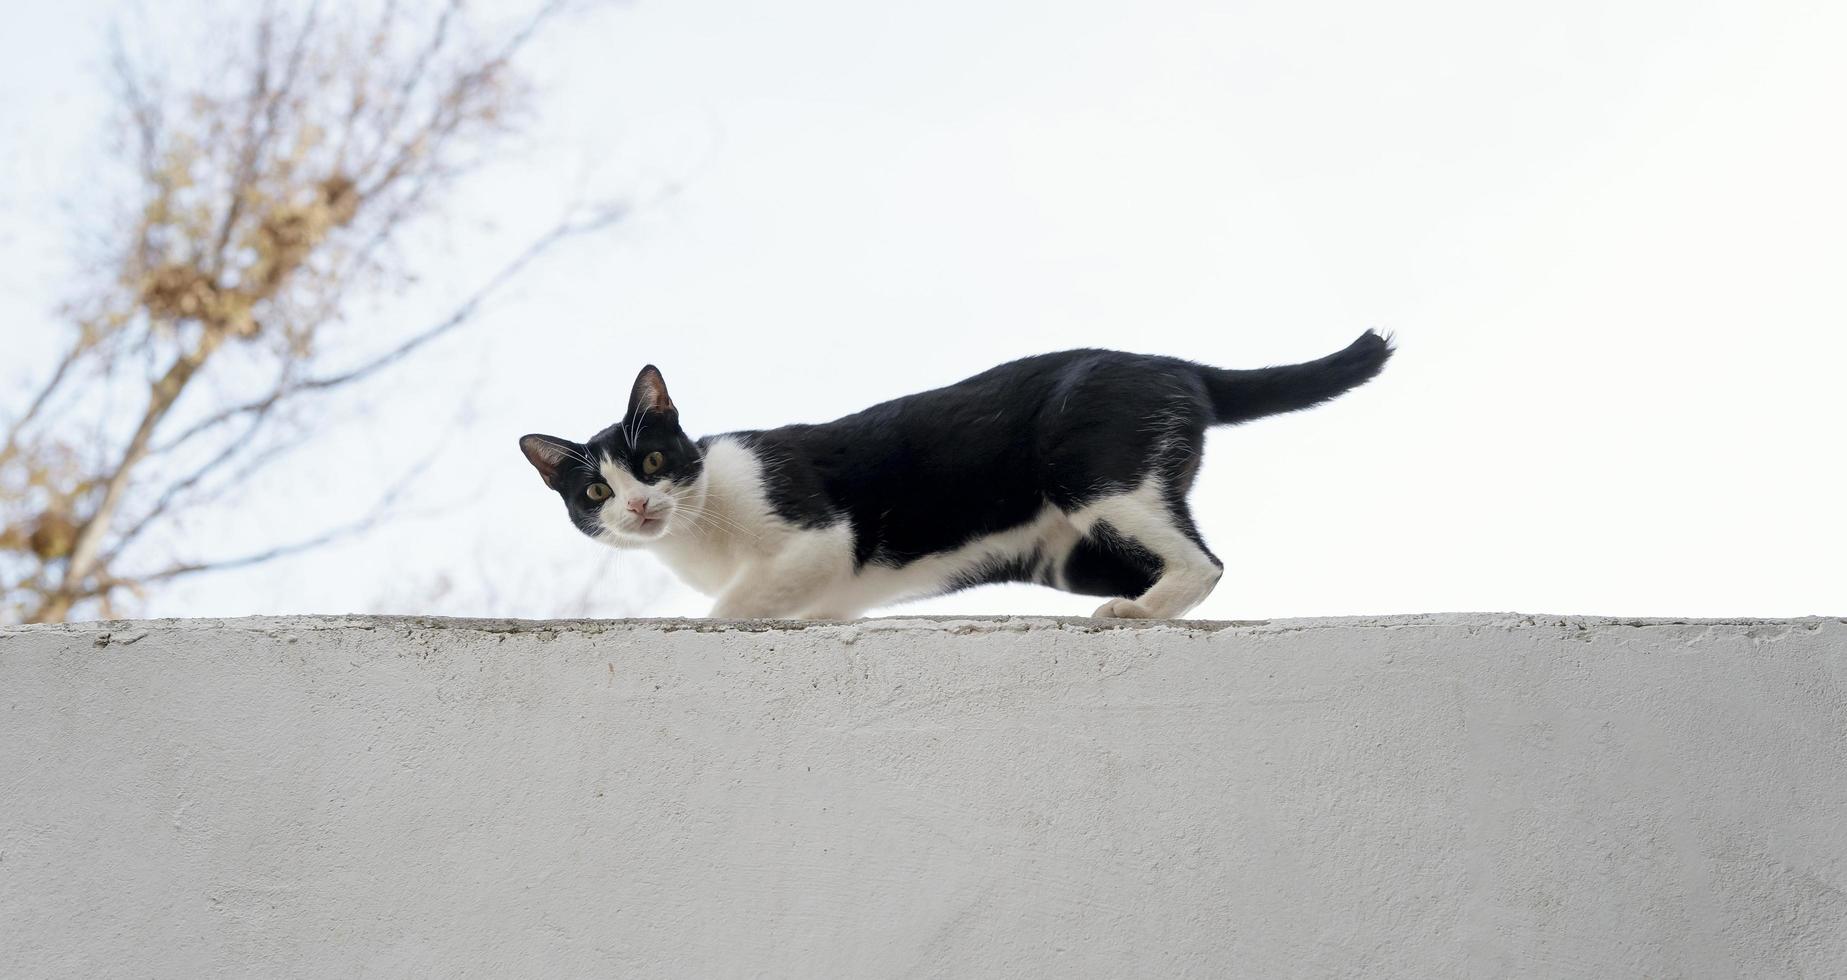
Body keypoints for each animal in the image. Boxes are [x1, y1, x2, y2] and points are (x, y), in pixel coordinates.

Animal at [517, 334, 1388, 616]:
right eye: (595, 492)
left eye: (652, 461)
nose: (637, 506)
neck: (701, 534)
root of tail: (1175, 364)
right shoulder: (827, 598)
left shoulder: (818, 537)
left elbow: (731, 608)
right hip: (1074, 550)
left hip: (1097, 474)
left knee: (1206, 561)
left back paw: (1135, 615)